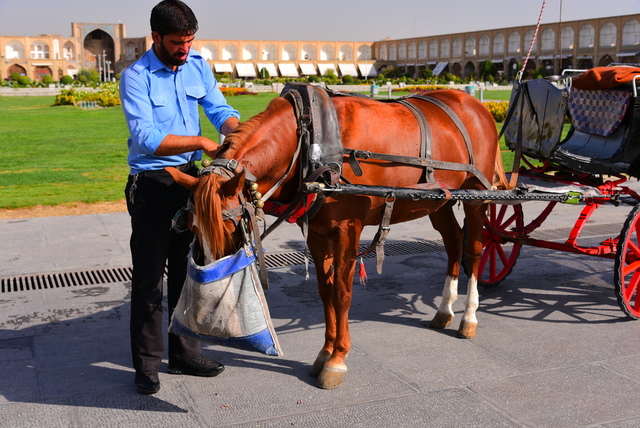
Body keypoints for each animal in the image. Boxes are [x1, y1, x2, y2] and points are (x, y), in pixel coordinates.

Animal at [166, 88, 510, 390]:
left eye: (228, 227)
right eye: (193, 227)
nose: (213, 282)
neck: (312, 143)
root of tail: (474, 104)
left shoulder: (348, 228)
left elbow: (342, 294)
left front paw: (337, 360)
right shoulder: (318, 233)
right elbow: (325, 292)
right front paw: (324, 353)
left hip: (476, 195)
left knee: (474, 250)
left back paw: (468, 316)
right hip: (437, 200)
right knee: (453, 244)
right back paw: (445, 310)